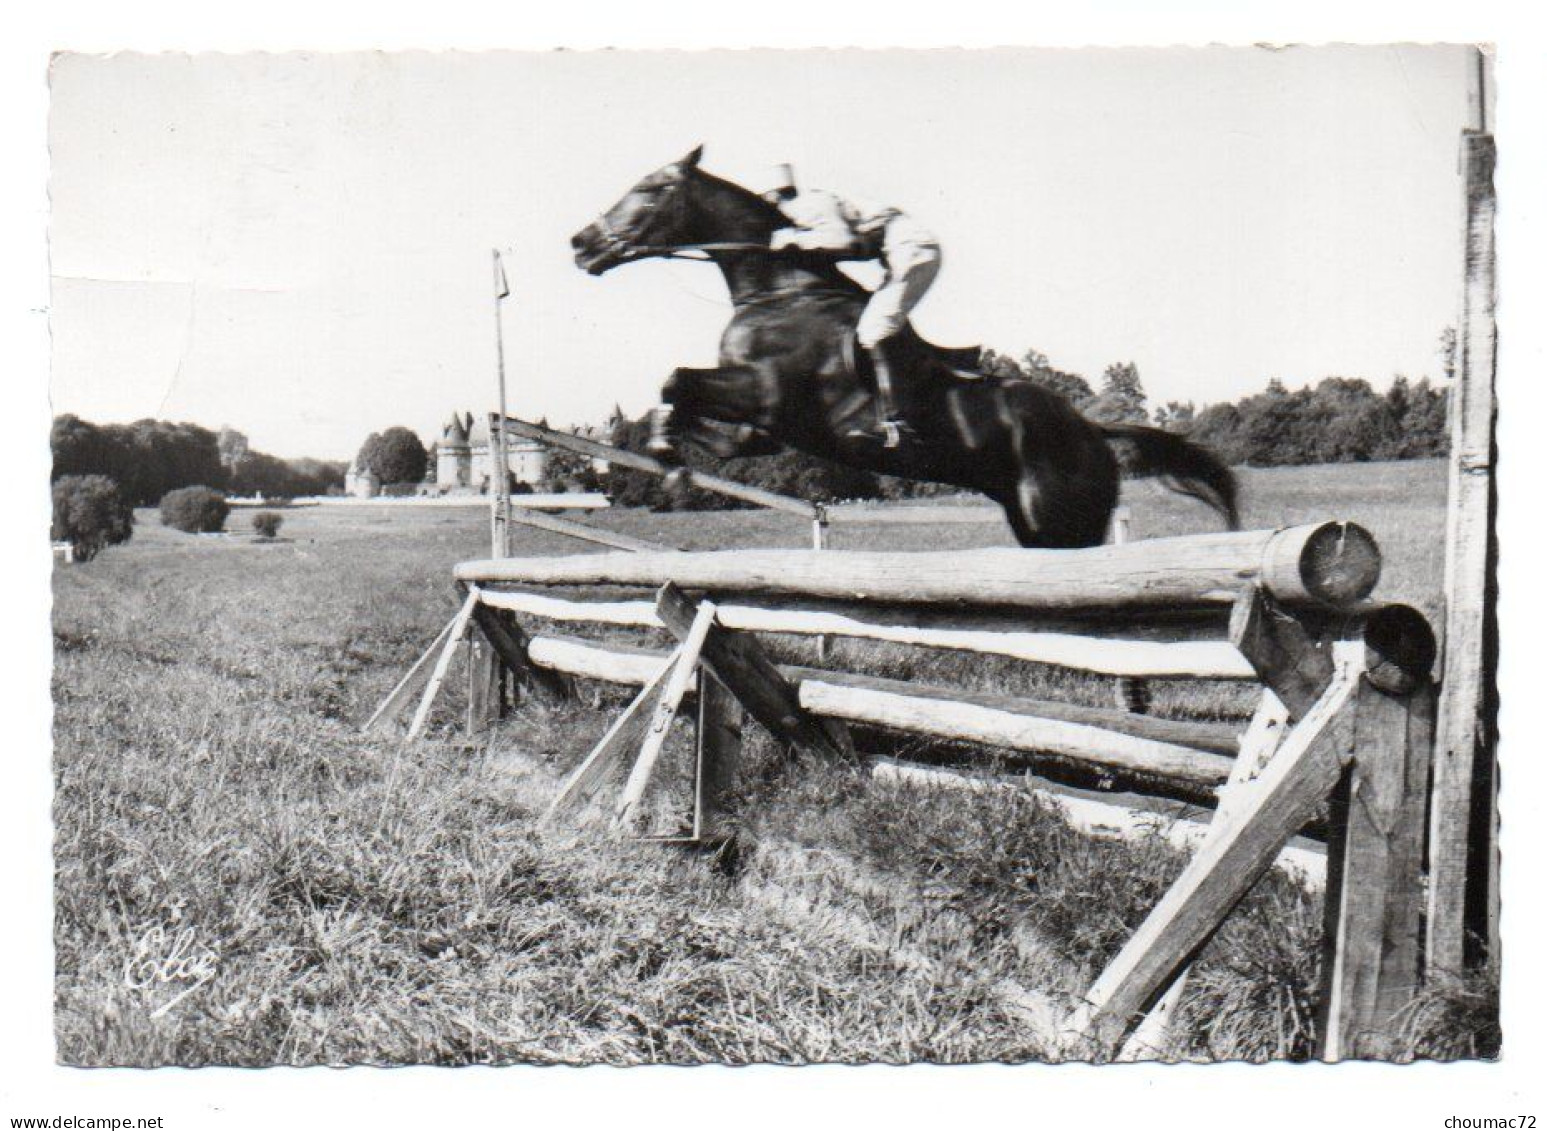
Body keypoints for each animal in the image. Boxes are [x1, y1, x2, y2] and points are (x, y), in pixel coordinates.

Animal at [566, 148, 1231, 550]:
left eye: (650, 189)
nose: (581, 243)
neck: (778, 287)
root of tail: (1094, 430)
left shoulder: (769, 395)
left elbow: (675, 378)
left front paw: (661, 450)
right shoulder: (761, 427)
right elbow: (703, 418)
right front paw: (670, 455)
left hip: (1058, 516)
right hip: (1032, 517)